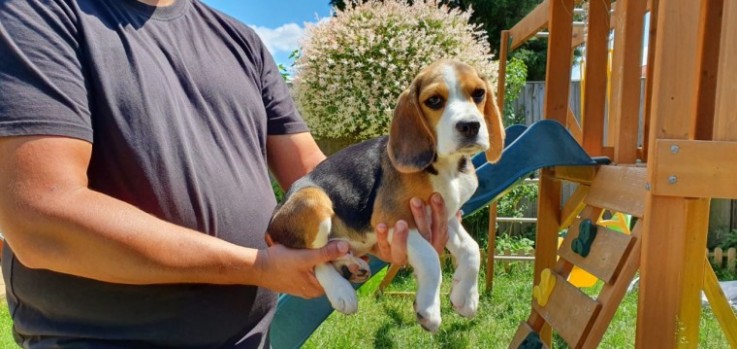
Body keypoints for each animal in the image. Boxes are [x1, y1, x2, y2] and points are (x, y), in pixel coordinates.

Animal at [268, 58, 504, 330]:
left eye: (479, 94)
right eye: (434, 100)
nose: (470, 126)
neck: (446, 166)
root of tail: (275, 214)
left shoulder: (446, 216)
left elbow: (471, 249)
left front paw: (466, 297)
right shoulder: (393, 220)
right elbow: (431, 258)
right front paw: (429, 309)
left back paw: (352, 264)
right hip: (313, 199)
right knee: (313, 258)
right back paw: (341, 290)